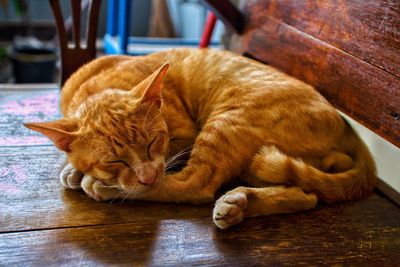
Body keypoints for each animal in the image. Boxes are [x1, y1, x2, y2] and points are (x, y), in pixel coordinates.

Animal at [23, 48, 376, 230]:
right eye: (115, 159)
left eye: (153, 142)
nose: (146, 176)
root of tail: (350, 130)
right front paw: (72, 167)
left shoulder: (183, 139)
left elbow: (167, 173)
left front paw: (87, 176)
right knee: (308, 195)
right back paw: (240, 204)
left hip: (226, 122)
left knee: (192, 185)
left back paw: (106, 188)